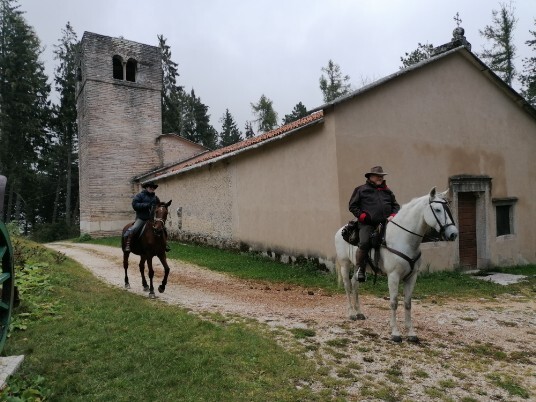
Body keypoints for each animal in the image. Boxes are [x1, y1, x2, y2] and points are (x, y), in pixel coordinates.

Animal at [336, 188, 456, 342]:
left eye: (448, 208)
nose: (453, 234)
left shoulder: (411, 277)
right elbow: (394, 302)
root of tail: (341, 231)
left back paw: (359, 313)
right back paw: (351, 313)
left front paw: (411, 333)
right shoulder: (393, 276)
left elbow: (408, 303)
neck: (403, 239)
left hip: (358, 268)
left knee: (355, 283)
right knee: (347, 286)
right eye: (437, 209)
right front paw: (395, 333)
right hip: (345, 265)